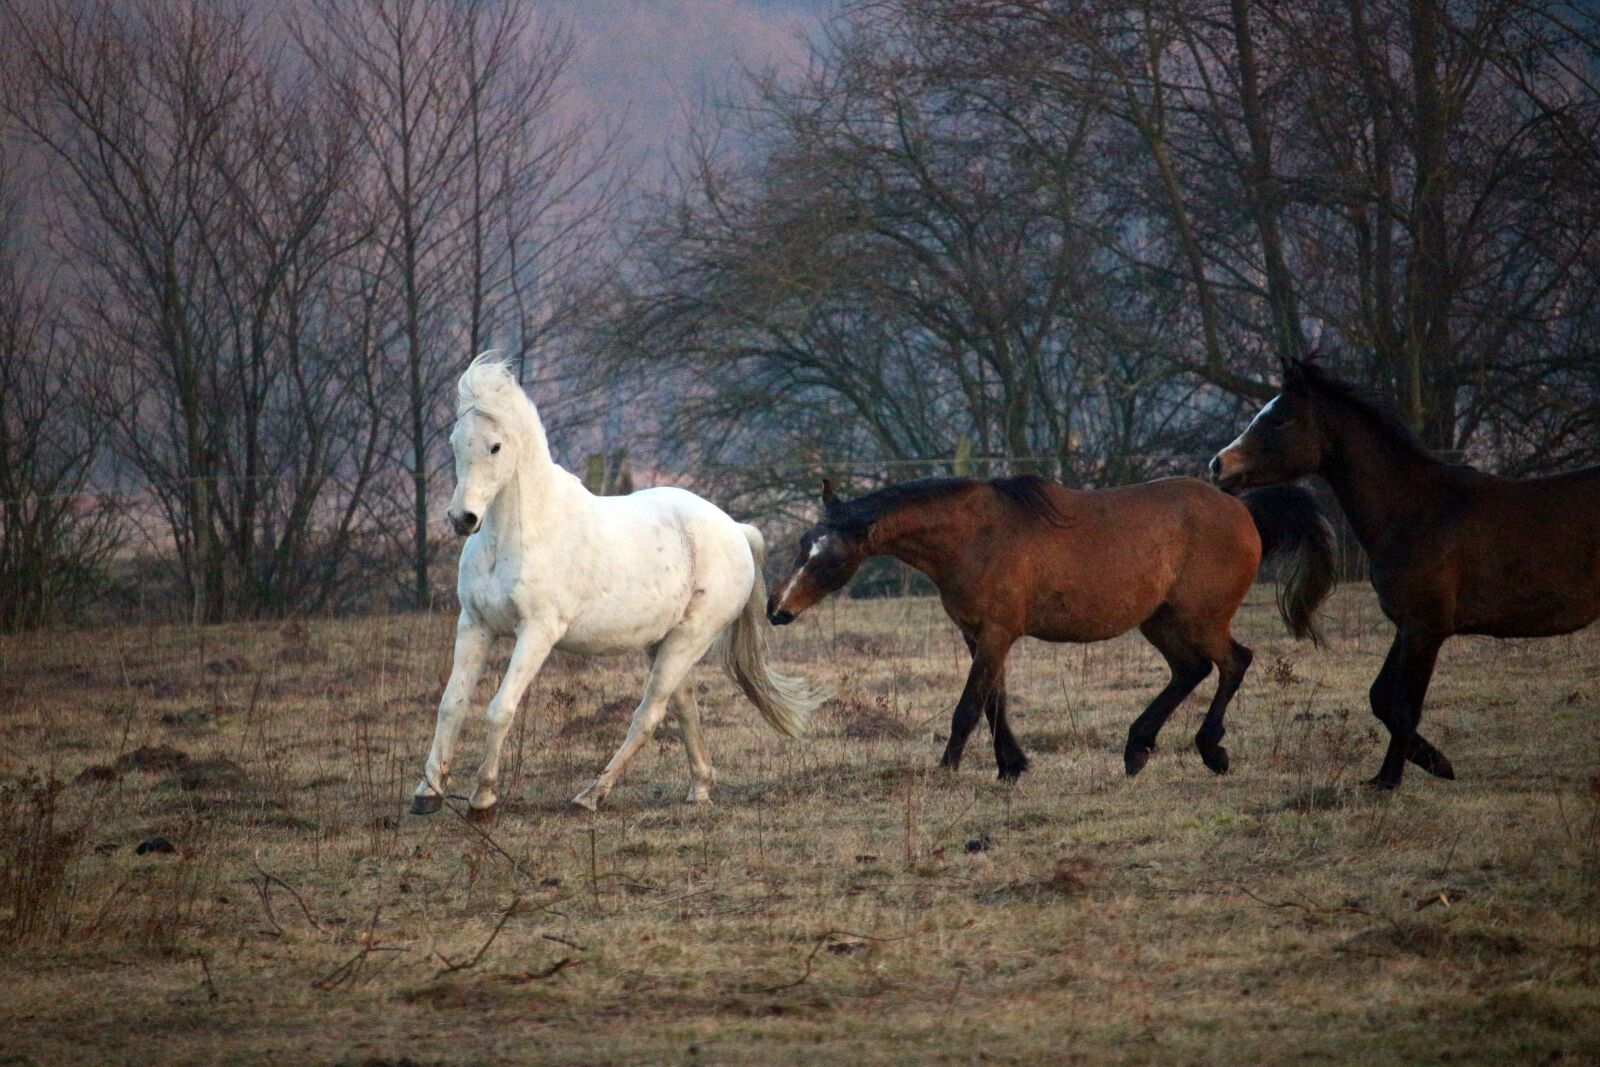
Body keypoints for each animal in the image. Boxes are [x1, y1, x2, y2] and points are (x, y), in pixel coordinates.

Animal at [410, 358, 825, 816]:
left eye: (496, 446)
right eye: (455, 442)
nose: (462, 518)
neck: (519, 535)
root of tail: (735, 528)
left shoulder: (537, 632)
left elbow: (500, 708)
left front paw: (483, 797)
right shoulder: (475, 625)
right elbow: (451, 704)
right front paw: (427, 793)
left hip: (690, 637)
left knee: (649, 713)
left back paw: (590, 795)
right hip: (662, 642)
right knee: (683, 705)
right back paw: (698, 787)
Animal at [766, 474, 1336, 779]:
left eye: (829, 557)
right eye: (803, 544)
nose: (777, 610)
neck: (975, 536)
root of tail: (1243, 509)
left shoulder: (997, 632)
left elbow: (969, 706)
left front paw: (948, 769)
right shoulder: (978, 634)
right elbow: (994, 702)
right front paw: (1011, 766)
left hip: (1201, 618)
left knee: (1234, 662)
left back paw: (1211, 749)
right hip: (1160, 621)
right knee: (1190, 671)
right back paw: (1137, 748)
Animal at [1211, 357, 1600, 789]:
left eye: (1280, 419)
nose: (1218, 465)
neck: (1413, 510)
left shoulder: (1426, 628)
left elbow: (1403, 708)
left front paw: (1388, 780)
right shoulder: (1406, 624)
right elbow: (1381, 697)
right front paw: (1436, 762)